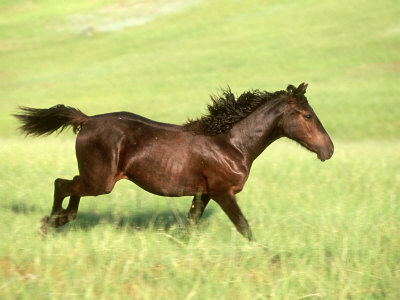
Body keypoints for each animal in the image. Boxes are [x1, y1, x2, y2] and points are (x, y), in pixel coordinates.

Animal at [12, 82, 332, 239]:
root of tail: (87, 120)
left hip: (96, 178)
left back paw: (60, 220)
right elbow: (244, 228)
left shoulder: (203, 194)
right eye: (307, 116)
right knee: (61, 184)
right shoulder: (222, 192)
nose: (328, 150)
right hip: (100, 182)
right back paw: (48, 224)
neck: (232, 144)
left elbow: (190, 225)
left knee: (69, 186)